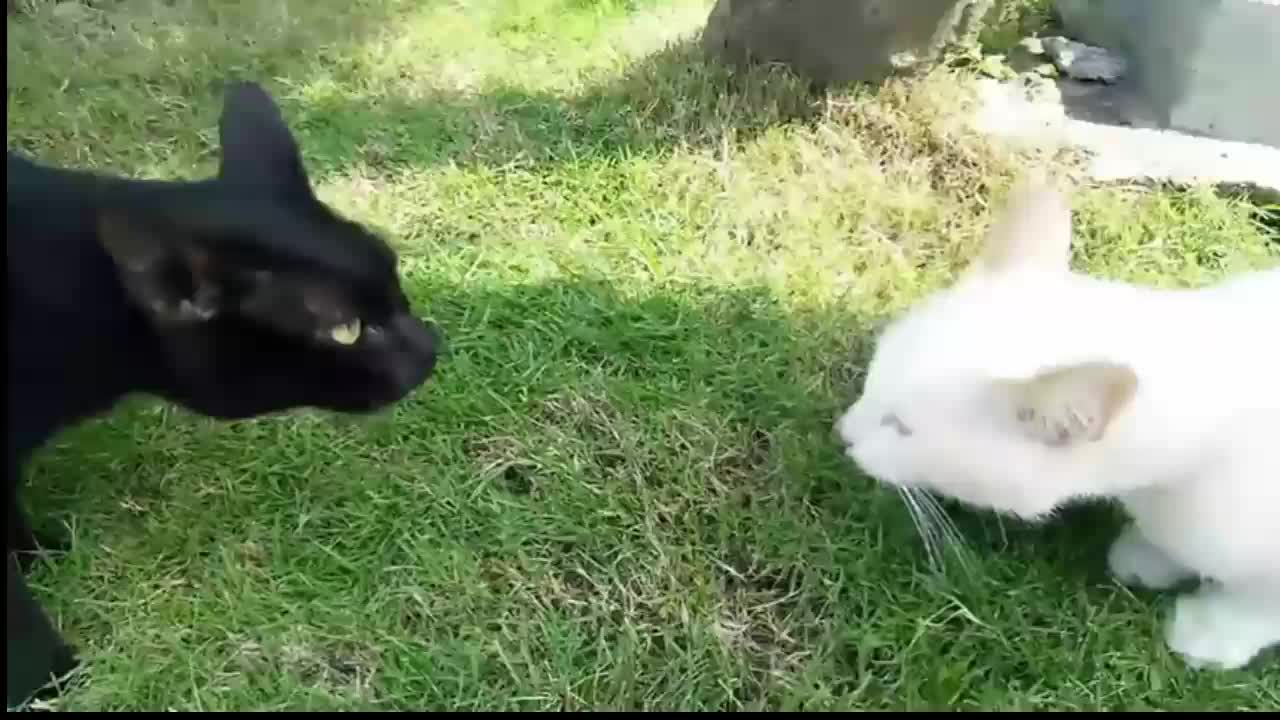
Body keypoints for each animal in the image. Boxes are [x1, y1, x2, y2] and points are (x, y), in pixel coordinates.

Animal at [834, 175, 1280, 666]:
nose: (844, 434)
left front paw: (1216, 632)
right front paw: (1150, 554)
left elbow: (1258, 602)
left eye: (901, 427)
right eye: (872, 378)